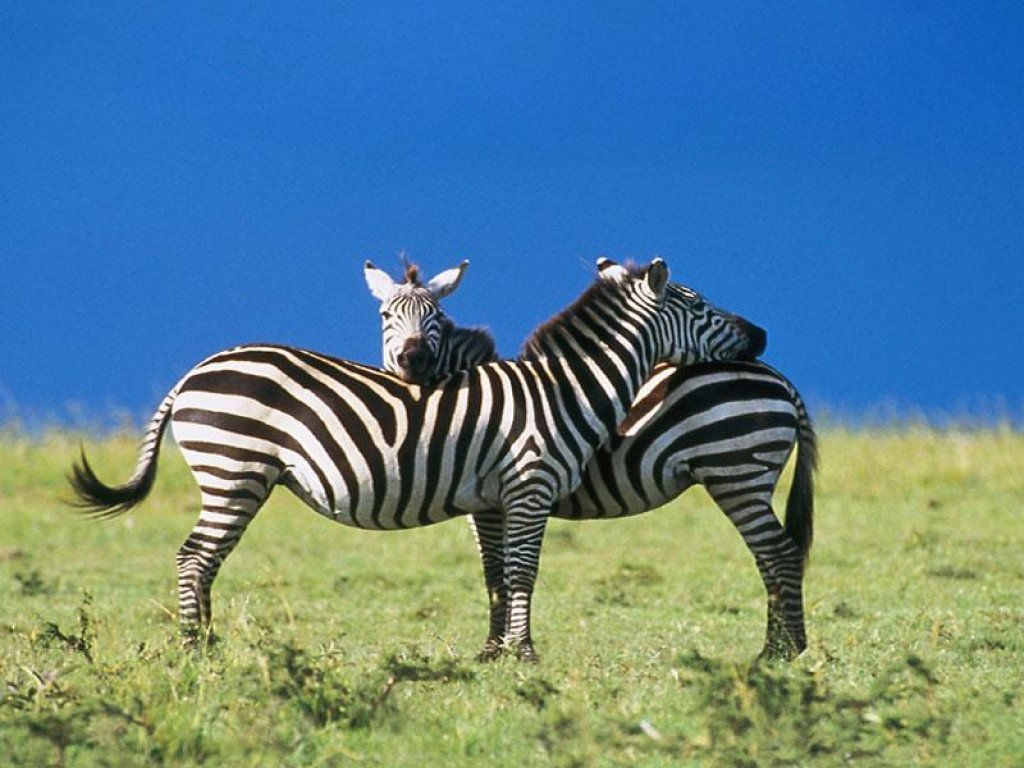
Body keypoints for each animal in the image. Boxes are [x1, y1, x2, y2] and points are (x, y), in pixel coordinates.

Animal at [68, 258, 767, 660]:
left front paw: (500, 654)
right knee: (193, 557)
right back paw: (195, 650)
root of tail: (194, 372)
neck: (560, 390)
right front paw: (525, 656)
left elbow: (499, 574)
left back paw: (207, 644)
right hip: (233, 469)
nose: (761, 336)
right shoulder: (529, 485)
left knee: (204, 560)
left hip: (239, 476)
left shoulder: (495, 496)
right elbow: (522, 574)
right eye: (699, 305)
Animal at [371, 262, 815, 660]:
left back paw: (780, 651)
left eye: (437, 317)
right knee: (772, 556)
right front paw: (495, 649)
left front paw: (497, 650)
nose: (413, 361)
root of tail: (780, 379)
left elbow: (502, 569)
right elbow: (496, 570)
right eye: (386, 317)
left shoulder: (496, 500)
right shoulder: (495, 500)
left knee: (778, 553)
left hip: (736, 473)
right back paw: (781, 646)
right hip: (743, 478)